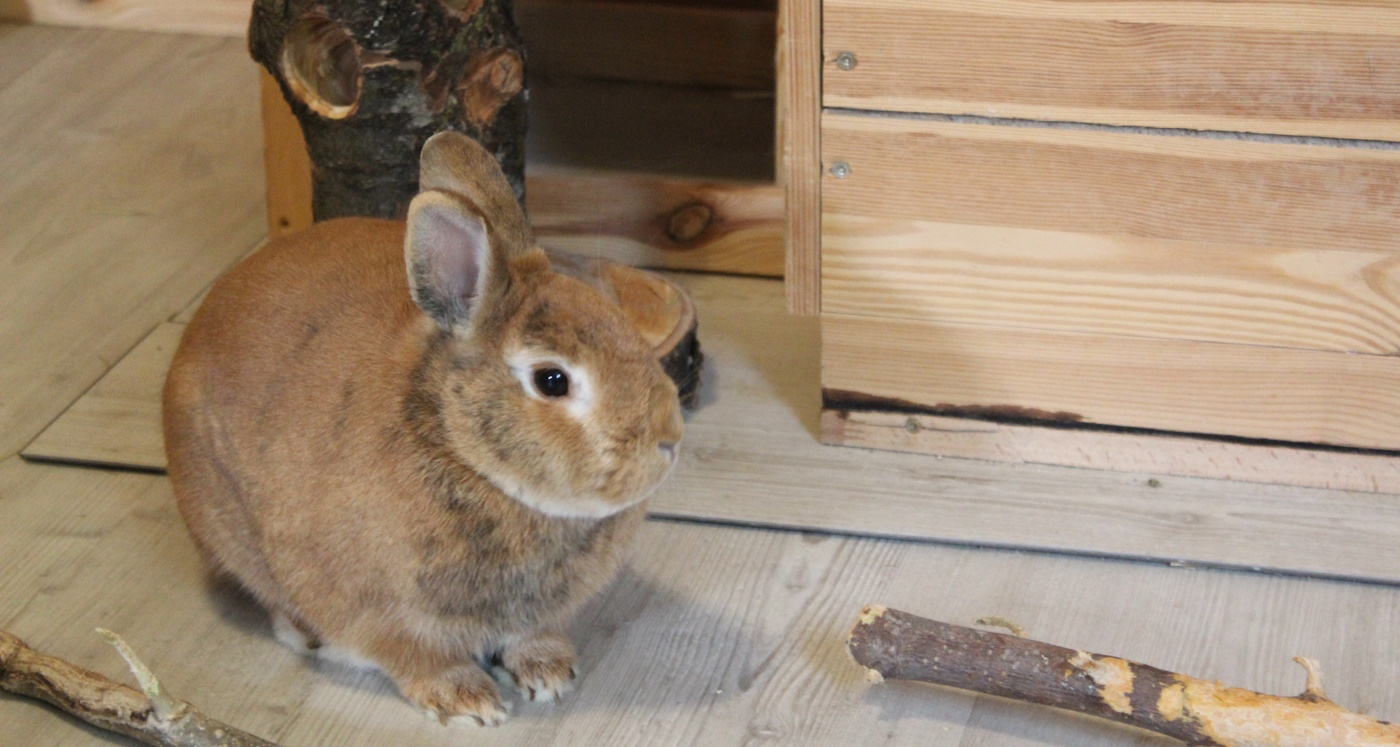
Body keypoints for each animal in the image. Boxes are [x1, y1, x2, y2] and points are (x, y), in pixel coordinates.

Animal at [162, 131, 684, 726]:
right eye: (551, 380)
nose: (669, 438)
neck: (455, 443)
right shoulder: (378, 610)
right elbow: (415, 655)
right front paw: (469, 702)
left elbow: (532, 637)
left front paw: (549, 674)